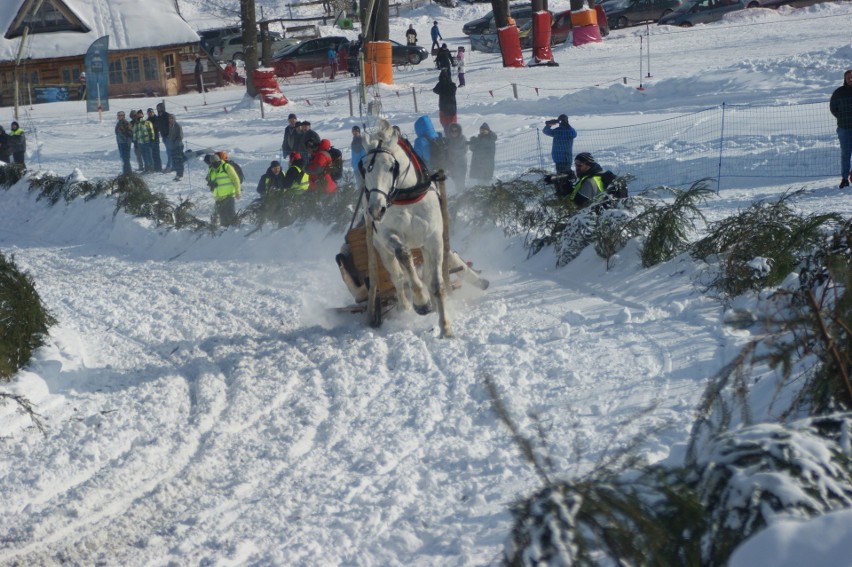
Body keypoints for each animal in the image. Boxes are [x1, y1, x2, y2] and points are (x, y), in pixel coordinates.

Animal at [360, 117, 452, 336]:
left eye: (391, 166)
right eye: (365, 167)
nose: (375, 209)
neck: (406, 196)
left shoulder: (434, 238)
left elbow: (436, 282)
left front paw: (445, 326)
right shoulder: (387, 236)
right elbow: (403, 255)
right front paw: (421, 301)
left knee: (425, 272)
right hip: (379, 247)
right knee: (397, 276)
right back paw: (405, 305)